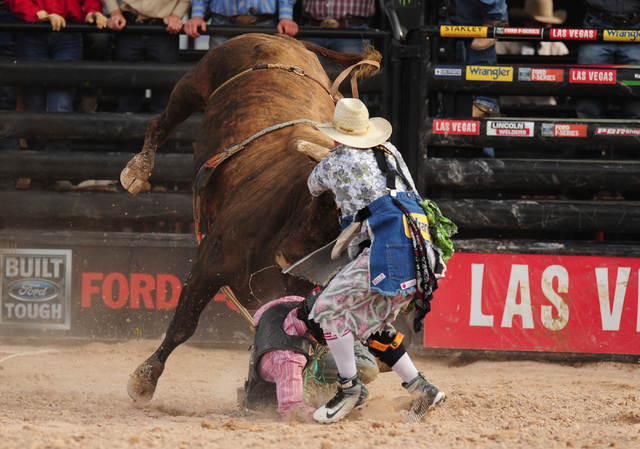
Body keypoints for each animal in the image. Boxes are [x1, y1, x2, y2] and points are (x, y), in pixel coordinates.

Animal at [123, 32, 382, 402]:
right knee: (162, 120)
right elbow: (184, 323)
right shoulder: (208, 264)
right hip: (195, 82)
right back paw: (137, 171)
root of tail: (282, 37)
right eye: (322, 198)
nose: (290, 257)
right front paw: (144, 378)